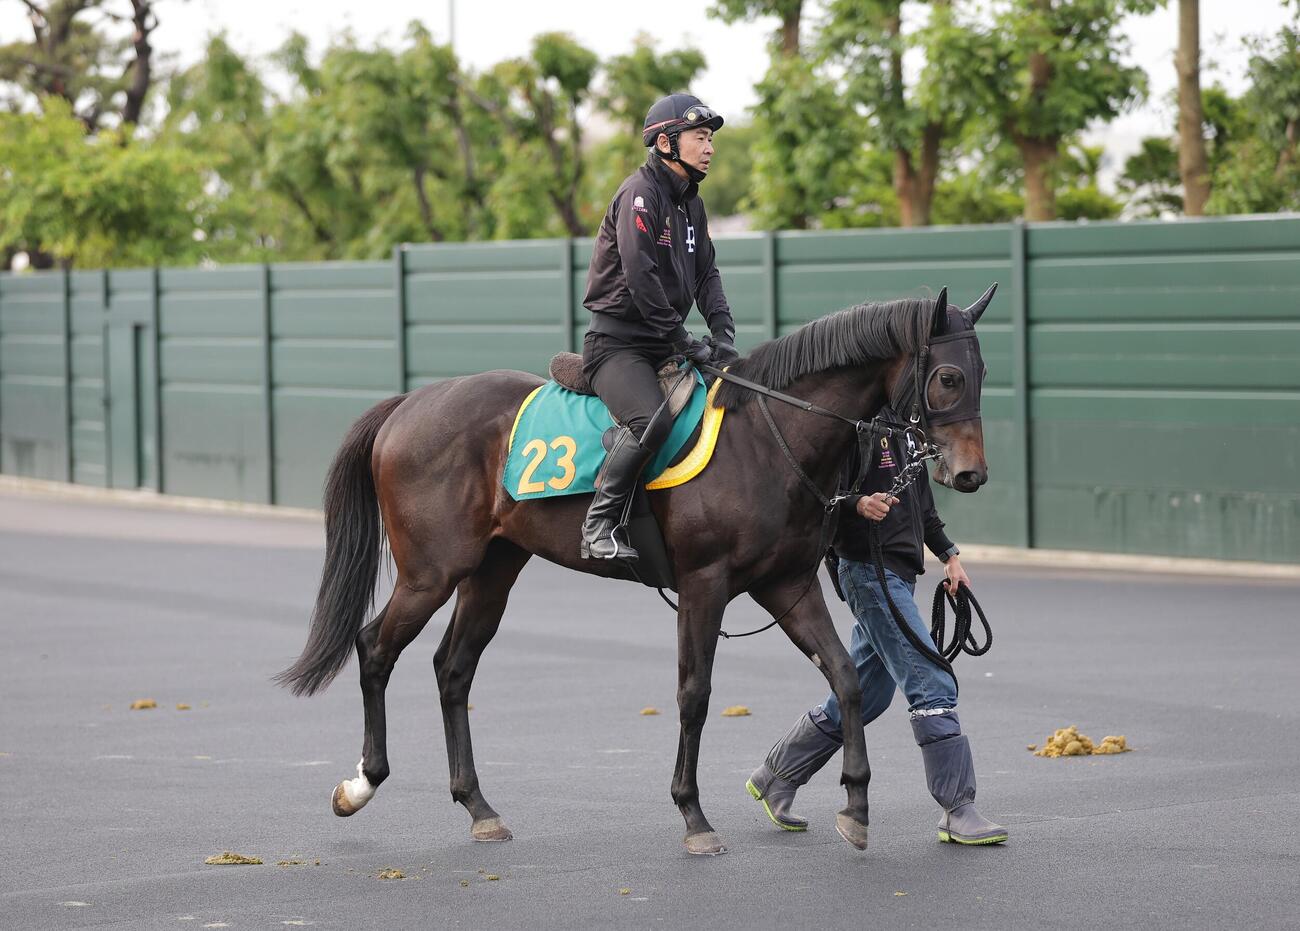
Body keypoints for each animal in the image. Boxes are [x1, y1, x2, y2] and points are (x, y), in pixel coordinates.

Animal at [276, 285, 995, 856]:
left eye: (983, 371)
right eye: (949, 377)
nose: (971, 474)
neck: (767, 436)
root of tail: (406, 405)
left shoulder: (786, 586)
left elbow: (844, 678)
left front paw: (855, 803)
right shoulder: (705, 584)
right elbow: (694, 693)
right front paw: (693, 815)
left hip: (493, 570)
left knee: (453, 669)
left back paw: (478, 807)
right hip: (431, 572)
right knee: (375, 647)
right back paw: (361, 783)